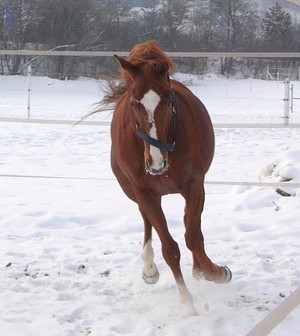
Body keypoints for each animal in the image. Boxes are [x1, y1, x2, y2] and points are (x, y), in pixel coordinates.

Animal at [108, 40, 232, 316]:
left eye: (167, 101)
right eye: (134, 103)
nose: (155, 162)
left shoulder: (194, 187)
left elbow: (193, 236)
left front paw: (215, 272)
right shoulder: (144, 193)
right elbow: (170, 248)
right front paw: (187, 302)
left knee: (191, 227)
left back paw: (199, 269)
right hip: (133, 192)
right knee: (147, 221)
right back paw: (149, 269)